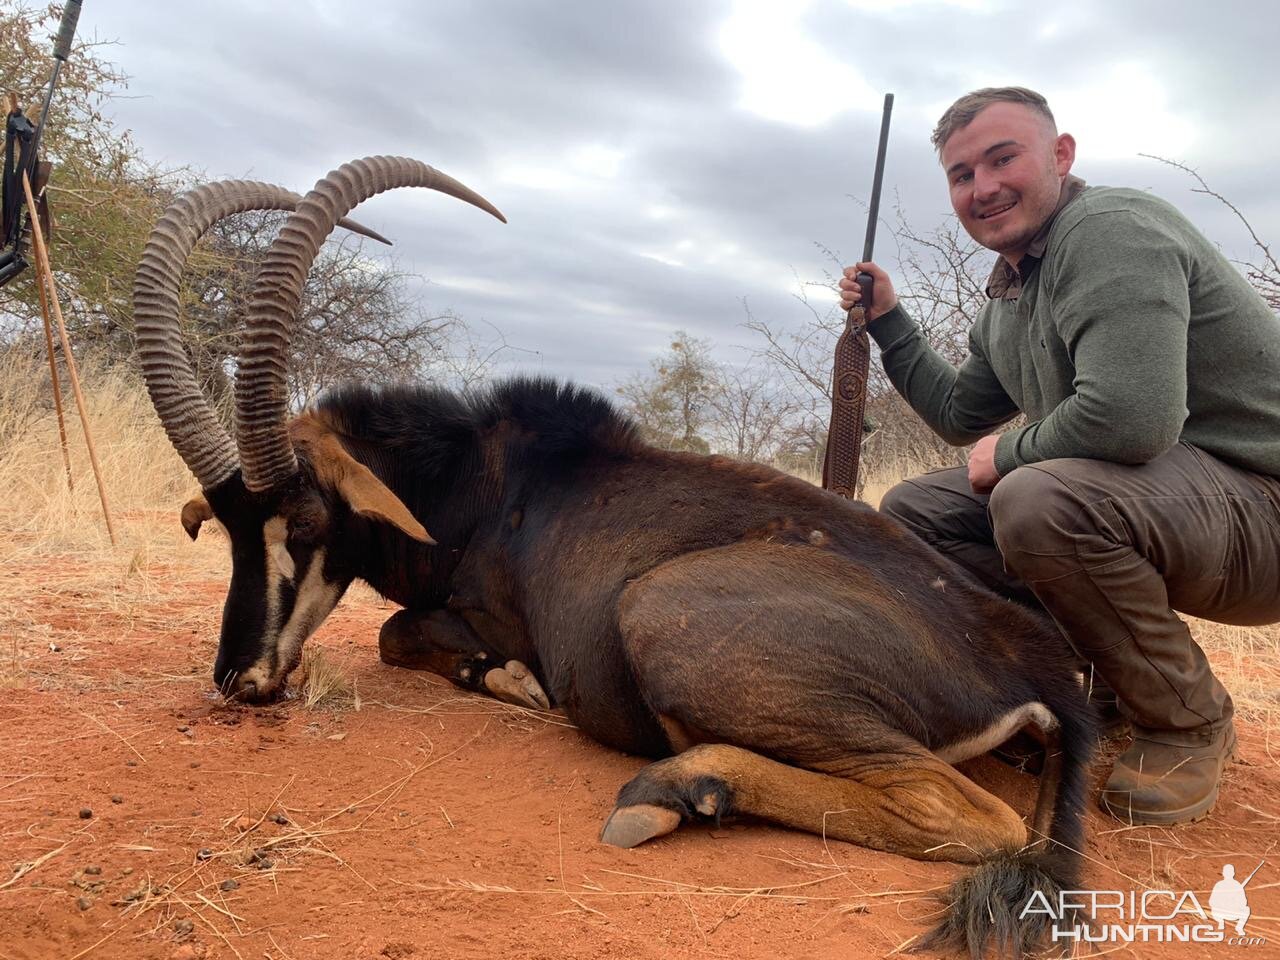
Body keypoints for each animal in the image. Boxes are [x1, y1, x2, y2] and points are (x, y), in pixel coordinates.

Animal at [132, 156, 1100, 957]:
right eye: (228, 529)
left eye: (301, 524)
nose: (240, 679)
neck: (479, 478)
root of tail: (1034, 661)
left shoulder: (486, 610)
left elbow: (398, 632)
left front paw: (509, 680)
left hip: (659, 609)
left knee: (969, 814)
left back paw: (677, 789)